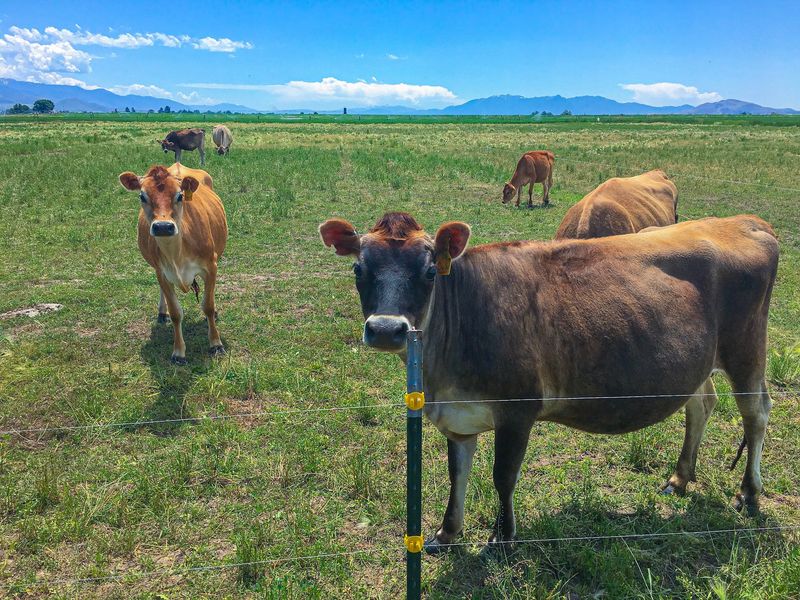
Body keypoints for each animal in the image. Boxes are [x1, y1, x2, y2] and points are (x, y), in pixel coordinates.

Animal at [119, 163, 227, 364]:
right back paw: (162, 313)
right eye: (142, 196)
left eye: (180, 195)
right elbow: (176, 313)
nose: (163, 226)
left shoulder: (211, 266)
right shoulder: (162, 272)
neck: (177, 253)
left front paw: (216, 344)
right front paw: (178, 353)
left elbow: (208, 306)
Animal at [320, 211, 778, 554]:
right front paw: (447, 533)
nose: (385, 329)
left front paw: (502, 539)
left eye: (431, 271)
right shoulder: (458, 414)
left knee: (757, 412)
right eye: (358, 268)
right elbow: (457, 473)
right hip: (696, 362)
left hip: (746, 349)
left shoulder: (517, 411)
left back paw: (749, 492)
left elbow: (502, 476)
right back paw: (680, 477)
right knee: (701, 404)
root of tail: (748, 221)